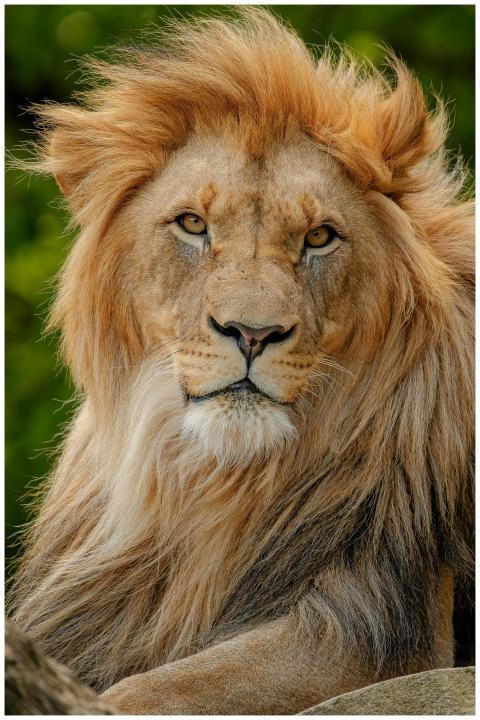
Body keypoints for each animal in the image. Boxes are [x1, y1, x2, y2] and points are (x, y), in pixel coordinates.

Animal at [9, 9, 474, 715]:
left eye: (318, 237)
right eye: (193, 224)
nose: (252, 334)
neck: (208, 485)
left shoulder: (384, 634)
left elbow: (152, 689)